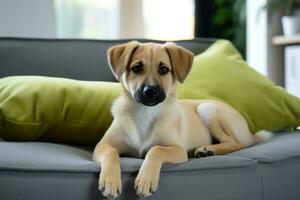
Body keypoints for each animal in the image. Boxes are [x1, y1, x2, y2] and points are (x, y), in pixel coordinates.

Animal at [92, 40, 272, 198]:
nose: (150, 91)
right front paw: (110, 181)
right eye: (137, 68)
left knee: (237, 143)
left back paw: (207, 149)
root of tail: (249, 133)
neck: (145, 113)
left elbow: (156, 149)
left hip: (207, 109)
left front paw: (145, 179)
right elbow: (112, 153)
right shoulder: (102, 146)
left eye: (164, 69)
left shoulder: (177, 149)